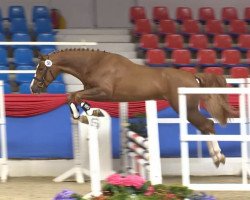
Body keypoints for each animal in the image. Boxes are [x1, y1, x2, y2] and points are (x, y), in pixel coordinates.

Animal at [29, 48, 234, 167]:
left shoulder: (103, 92)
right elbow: (73, 96)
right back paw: (216, 157)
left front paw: (82, 114)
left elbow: (75, 96)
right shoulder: (93, 91)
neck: (94, 64)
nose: (32, 89)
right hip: (187, 110)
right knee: (205, 126)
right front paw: (88, 112)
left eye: (41, 68)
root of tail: (193, 77)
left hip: (186, 108)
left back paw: (218, 157)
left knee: (207, 125)